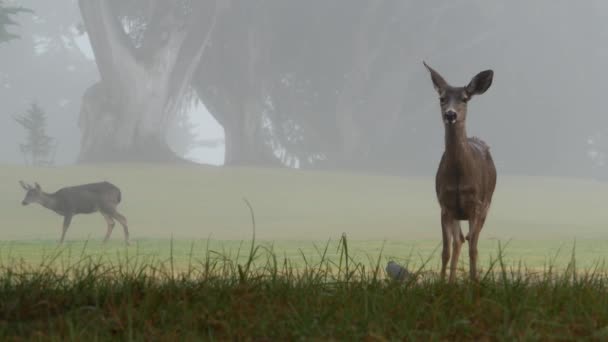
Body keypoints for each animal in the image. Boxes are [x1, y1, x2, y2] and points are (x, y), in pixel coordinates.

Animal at [426, 61, 496, 280]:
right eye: (441, 98)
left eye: (464, 99)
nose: (450, 114)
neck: (459, 177)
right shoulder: (445, 205)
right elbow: (446, 250)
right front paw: (442, 283)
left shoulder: (476, 205)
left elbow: (473, 249)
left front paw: (475, 281)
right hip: (456, 213)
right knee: (458, 241)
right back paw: (451, 281)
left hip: (487, 205)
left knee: (468, 241)